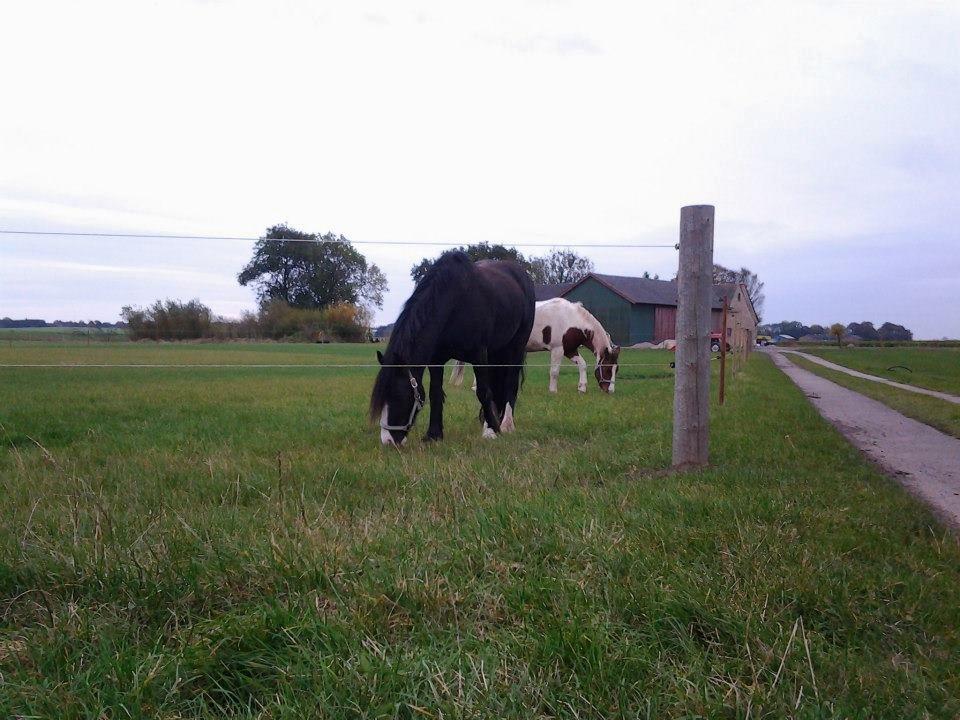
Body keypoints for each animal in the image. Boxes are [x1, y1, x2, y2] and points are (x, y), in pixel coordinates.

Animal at [370, 253, 536, 444]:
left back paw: (506, 425)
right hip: (497, 351)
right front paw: (433, 434)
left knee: (510, 384)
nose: (388, 441)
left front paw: (493, 430)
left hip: (516, 347)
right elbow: (435, 393)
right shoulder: (436, 361)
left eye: (397, 395)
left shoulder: (479, 355)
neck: (455, 303)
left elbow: (483, 392)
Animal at [452, 296, 624, 390]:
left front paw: (582, 388)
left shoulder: (570, 349)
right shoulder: (557, 349)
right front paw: (553, 391)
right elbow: (554, 372)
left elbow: (582, 365)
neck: (570, 319)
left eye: (616, 369)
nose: (609, 390)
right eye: (607, 369)